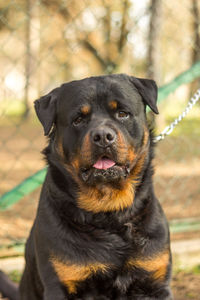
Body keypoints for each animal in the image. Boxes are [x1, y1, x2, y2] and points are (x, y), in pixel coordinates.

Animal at [0, 74, 173, 298]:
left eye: (122, 113)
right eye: (78, 119)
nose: (103, 136)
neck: (109, 212)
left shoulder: (155, 282)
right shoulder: (60, 285)